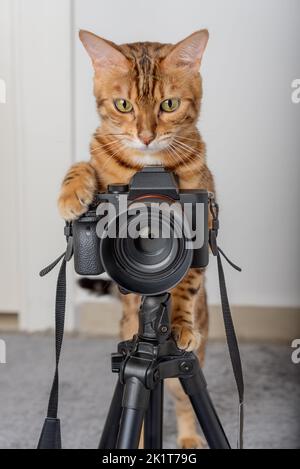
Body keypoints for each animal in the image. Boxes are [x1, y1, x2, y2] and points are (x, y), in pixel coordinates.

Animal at [58, 28, 213, 446]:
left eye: (169, 105)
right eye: (123, 105)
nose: (145, 136)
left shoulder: (202, 207)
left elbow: (187, 282)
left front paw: (180, 324)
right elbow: (82, 166)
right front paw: (70, 195)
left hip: (188, 365)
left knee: (182, 398)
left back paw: (189, 436)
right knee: (142, 419)